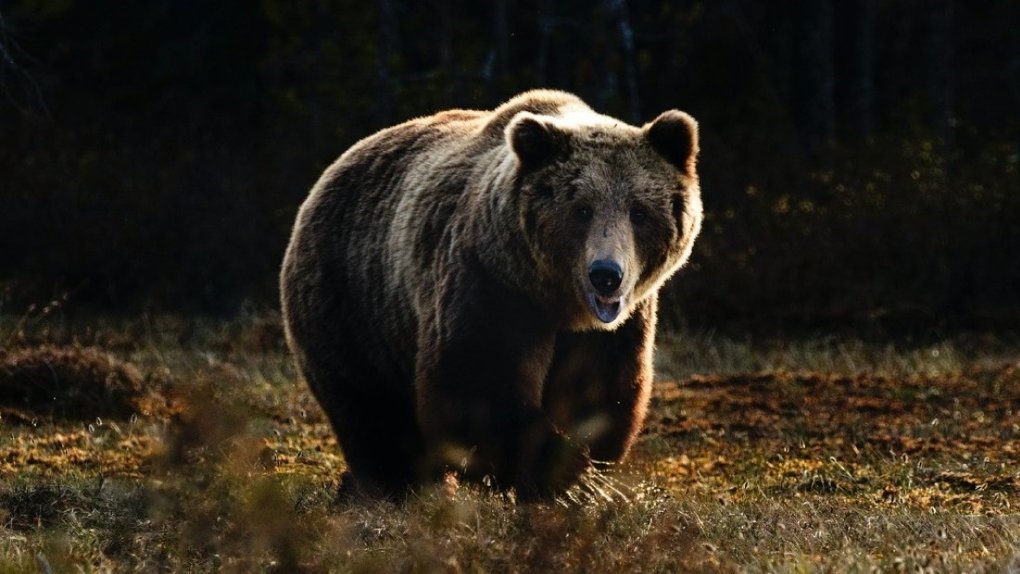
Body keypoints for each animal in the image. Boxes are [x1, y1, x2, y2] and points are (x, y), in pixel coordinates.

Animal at [283, 89, 705, 499]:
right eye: (581, 209)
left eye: (639, 212)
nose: (606, 275)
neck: (558, 302)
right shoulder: (491, 285)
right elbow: (478, 385)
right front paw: (560, 473)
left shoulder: (615, 328)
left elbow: (599, 392)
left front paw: (581, 471)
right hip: (352, 302)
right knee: (371, 409)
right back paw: (396, 485)